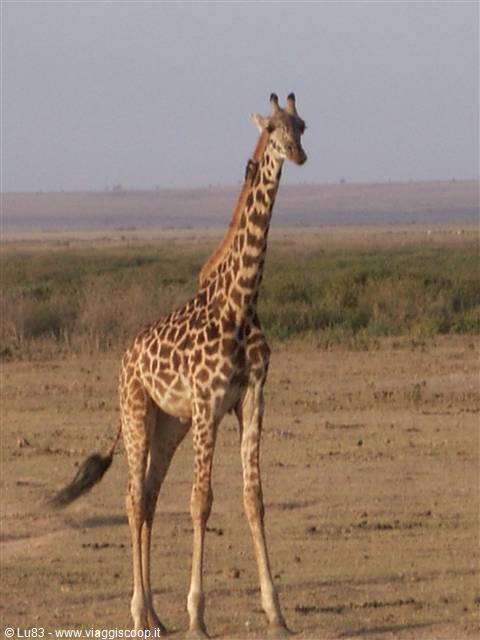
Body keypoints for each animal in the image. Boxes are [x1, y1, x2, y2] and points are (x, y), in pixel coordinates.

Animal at [52, 93, 307, 639]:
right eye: (271, 129)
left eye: (302, 125)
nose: (298, 154)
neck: (240, 302)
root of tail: (126, 356)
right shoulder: (209, 404)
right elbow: (201, 500)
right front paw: (198, 614)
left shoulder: (252, 399)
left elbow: (254, 498)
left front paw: (276, 613)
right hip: (136, 412)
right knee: (132, 499)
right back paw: (138, 612)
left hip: (170, 423)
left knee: (148, 496)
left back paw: (155, 614)